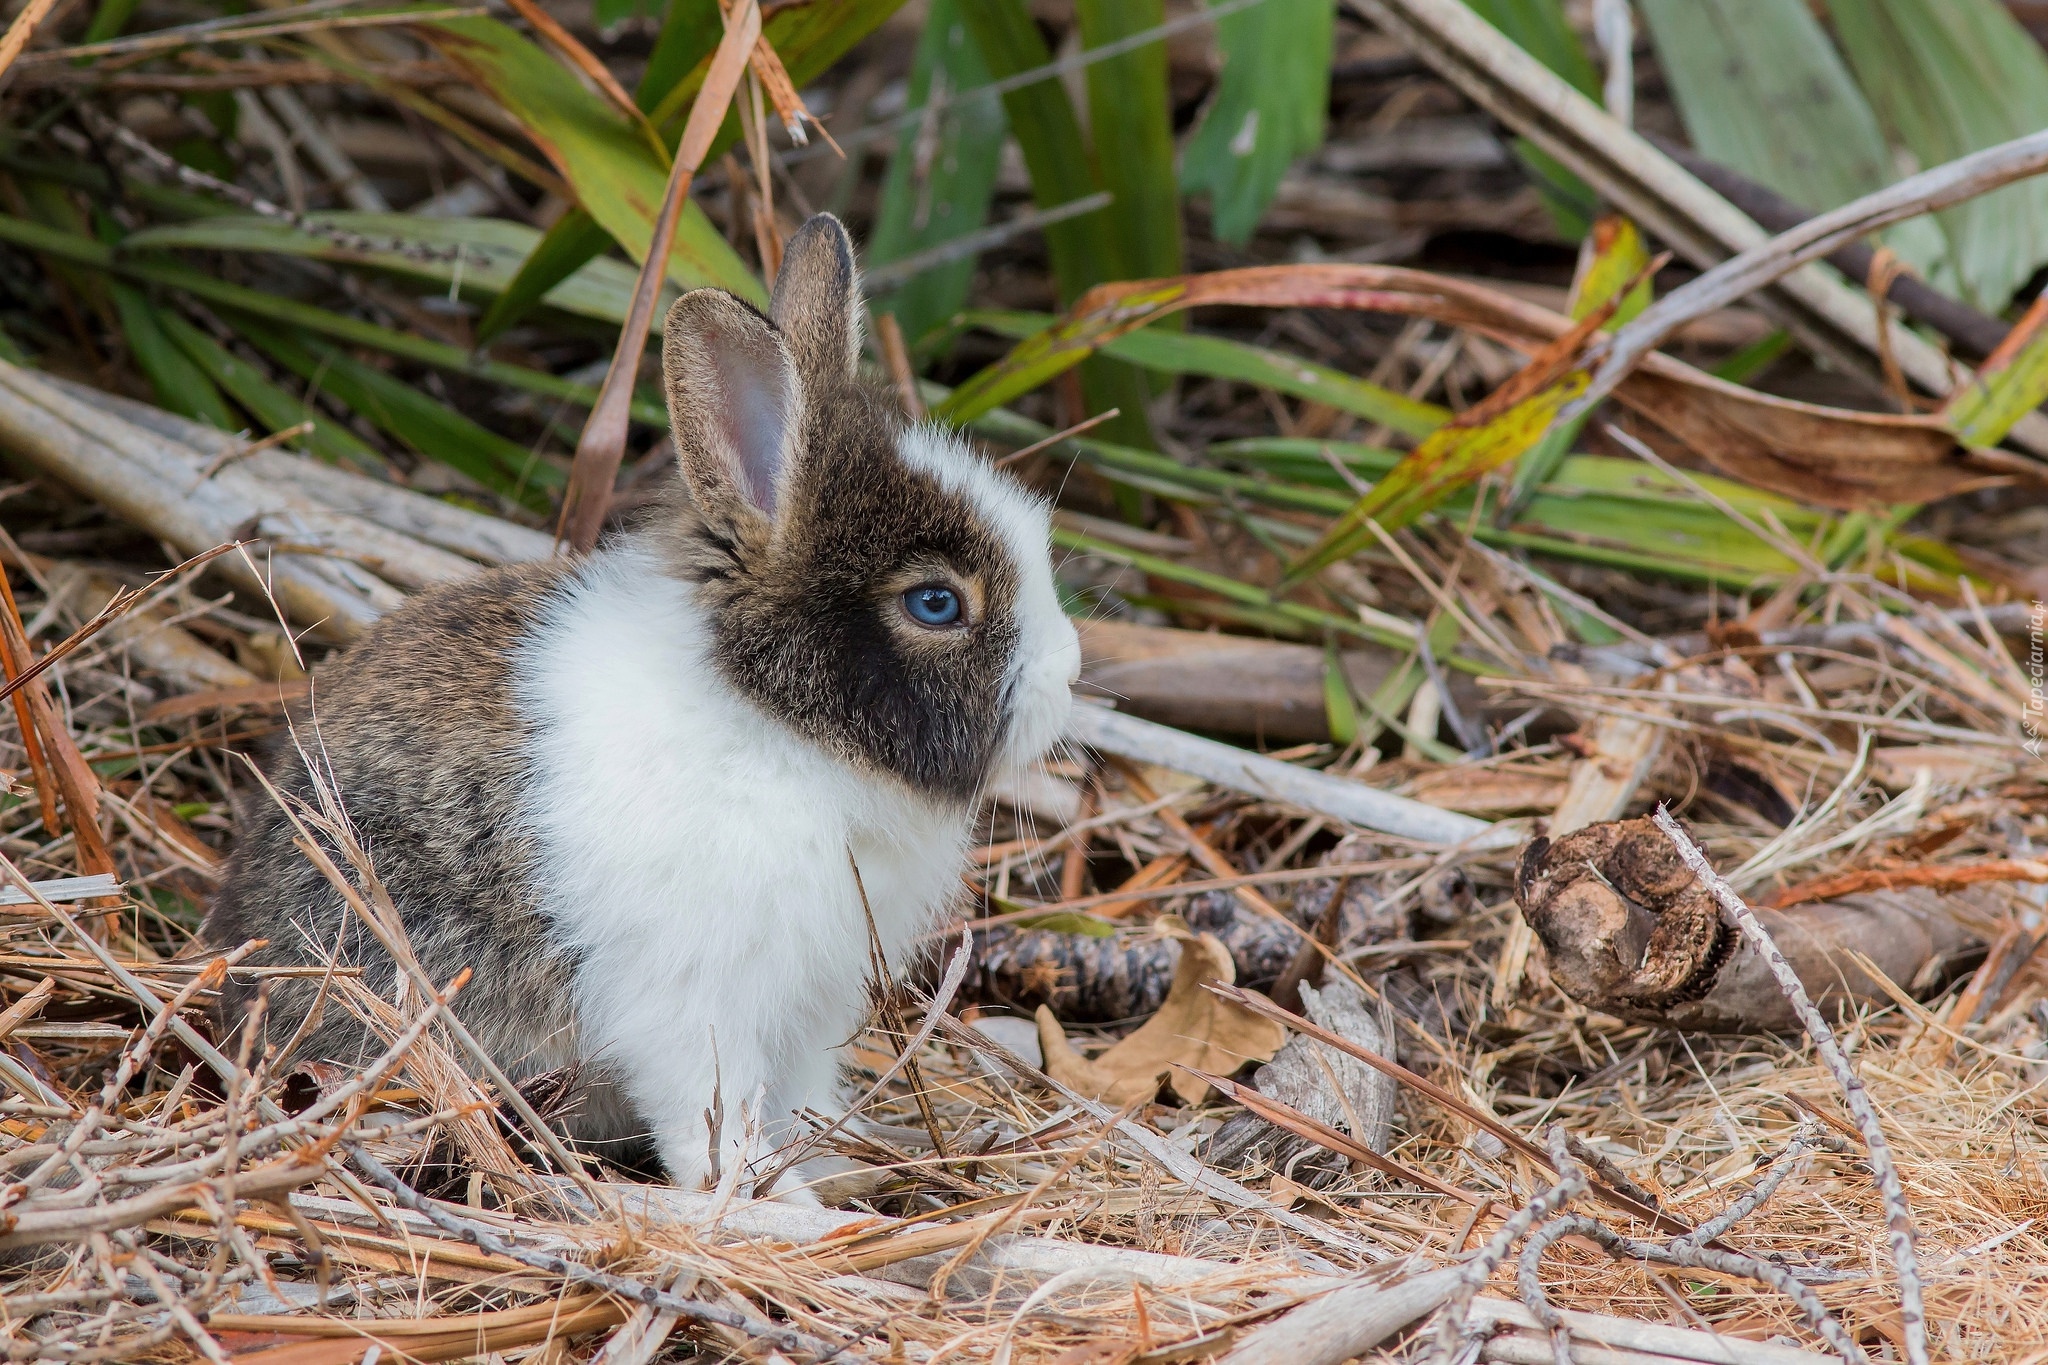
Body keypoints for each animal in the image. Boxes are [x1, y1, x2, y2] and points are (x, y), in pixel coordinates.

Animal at [199, 215, 1081, 1195]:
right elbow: (712, 1119)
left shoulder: (810, 1008)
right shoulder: (695, 1003)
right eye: (935, 603)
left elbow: (800, 1096)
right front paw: (775, 1204)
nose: (1070, 673)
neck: (779, 725)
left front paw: (835, 1166)